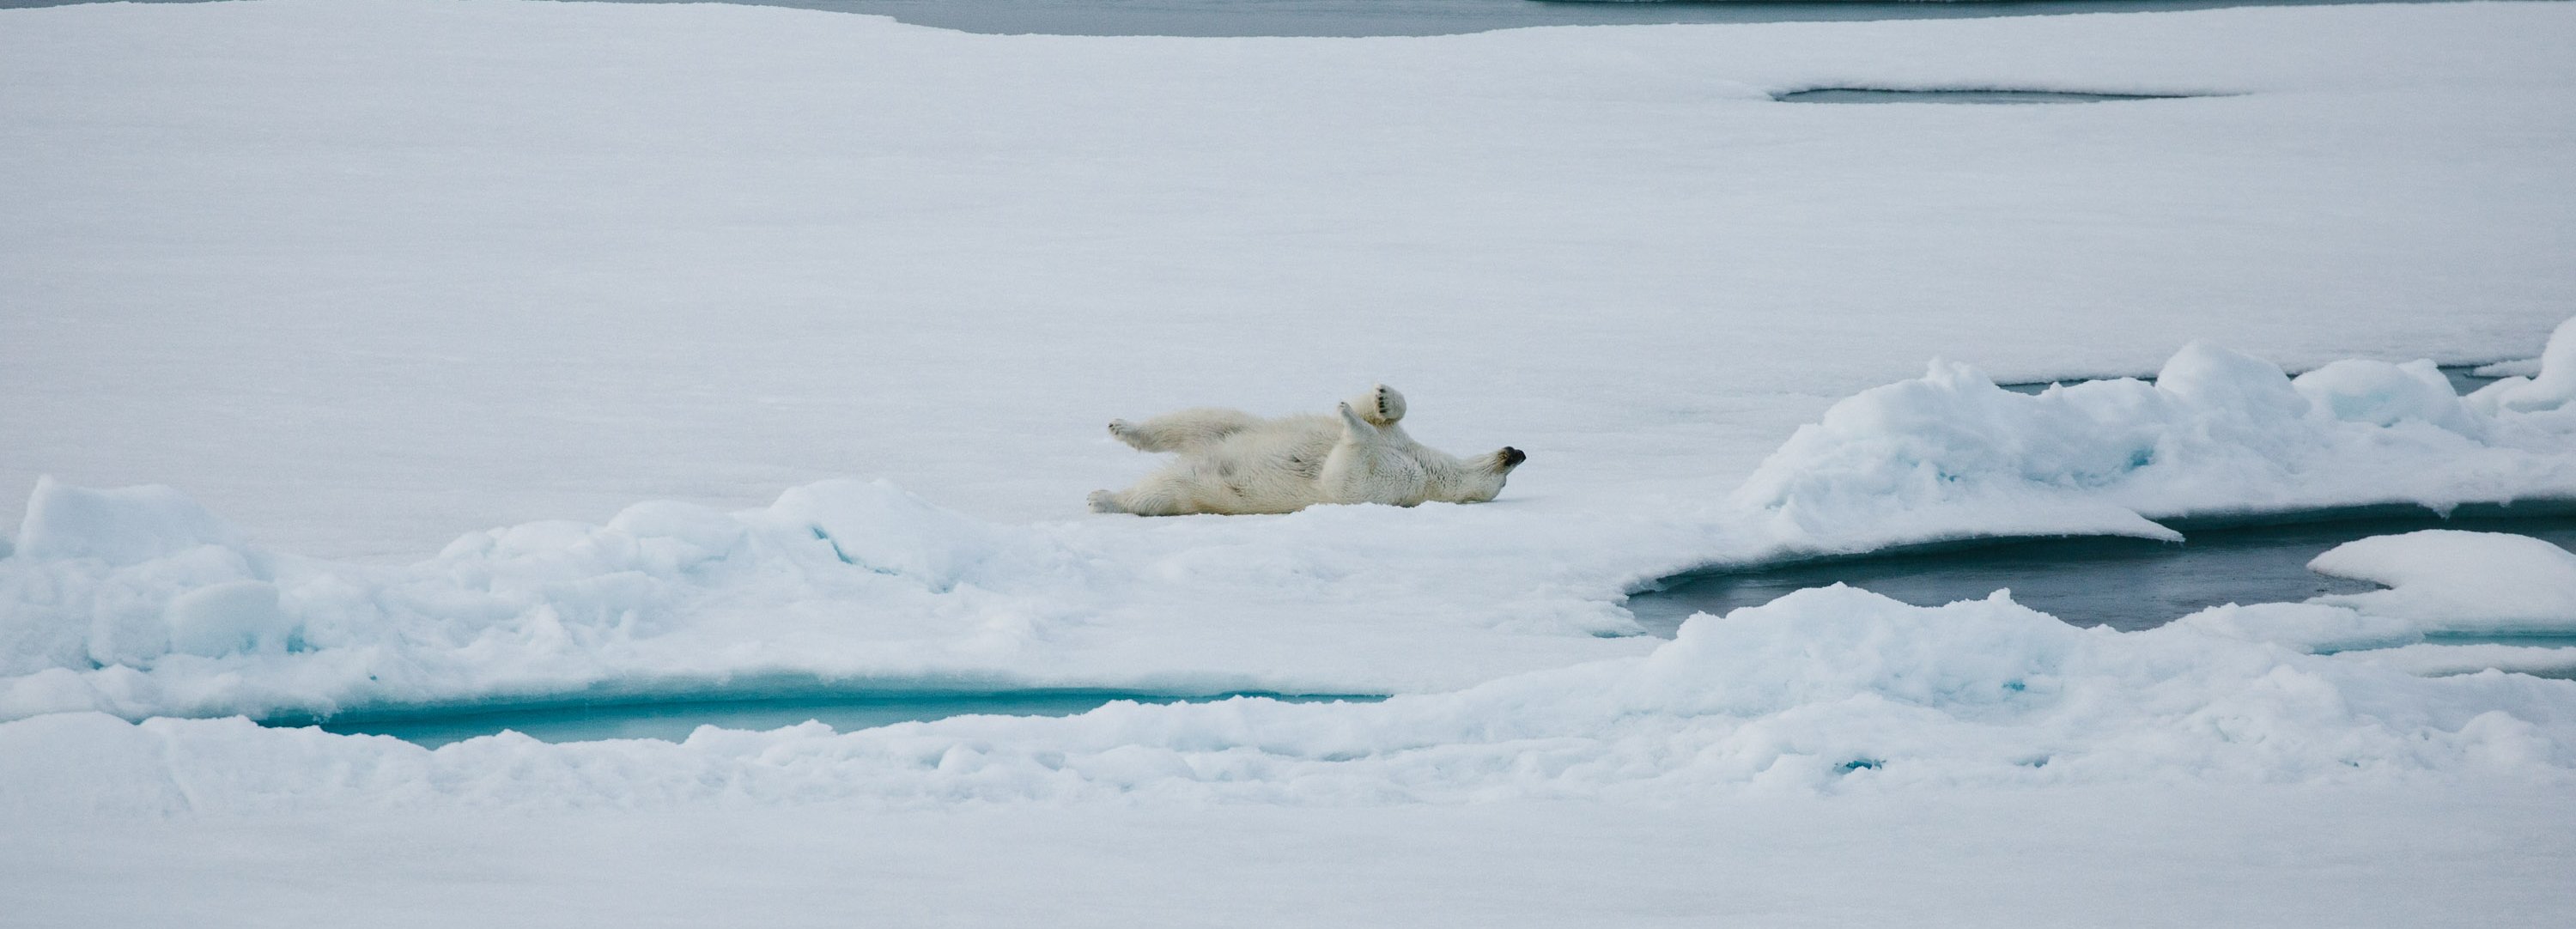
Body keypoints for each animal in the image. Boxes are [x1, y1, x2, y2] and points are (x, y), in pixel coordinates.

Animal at [1092, 380, 1525, 514]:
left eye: (1502, 483)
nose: (1517, 453)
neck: (1425, 465)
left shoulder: (1400, 486)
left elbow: (1345, 479)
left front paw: (1348, 417)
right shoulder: (1401, 444)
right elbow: (1379, 419)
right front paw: (1381, 399)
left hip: (1200, 489)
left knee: (1160, 492)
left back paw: (1104, 497)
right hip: (1231, 431)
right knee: (1205, 420)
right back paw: (1121, 427)